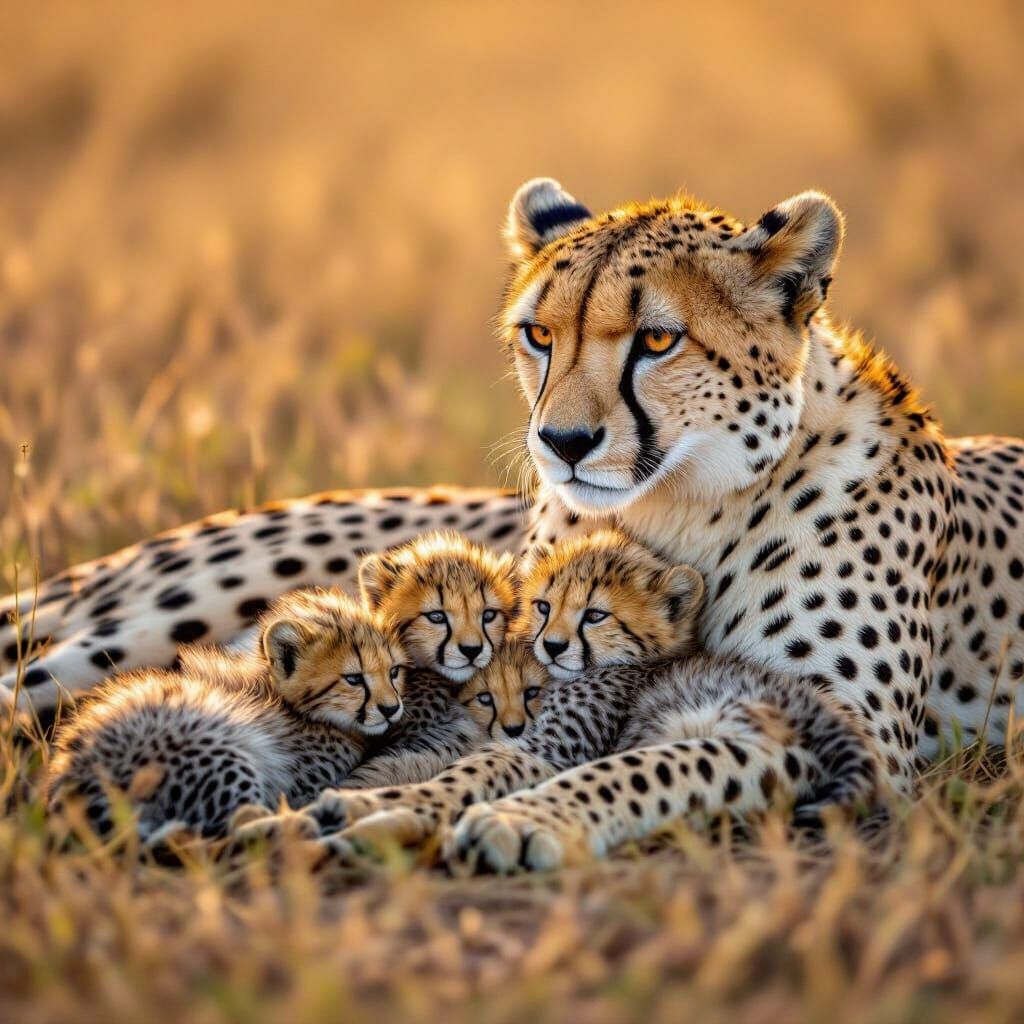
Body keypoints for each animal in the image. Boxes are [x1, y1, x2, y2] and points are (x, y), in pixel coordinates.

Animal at [42, 588, 406, 842]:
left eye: (394, 672)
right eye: (354, 679)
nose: (391, 709)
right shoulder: (300, 781)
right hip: (220, 748)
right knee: (236, 826)